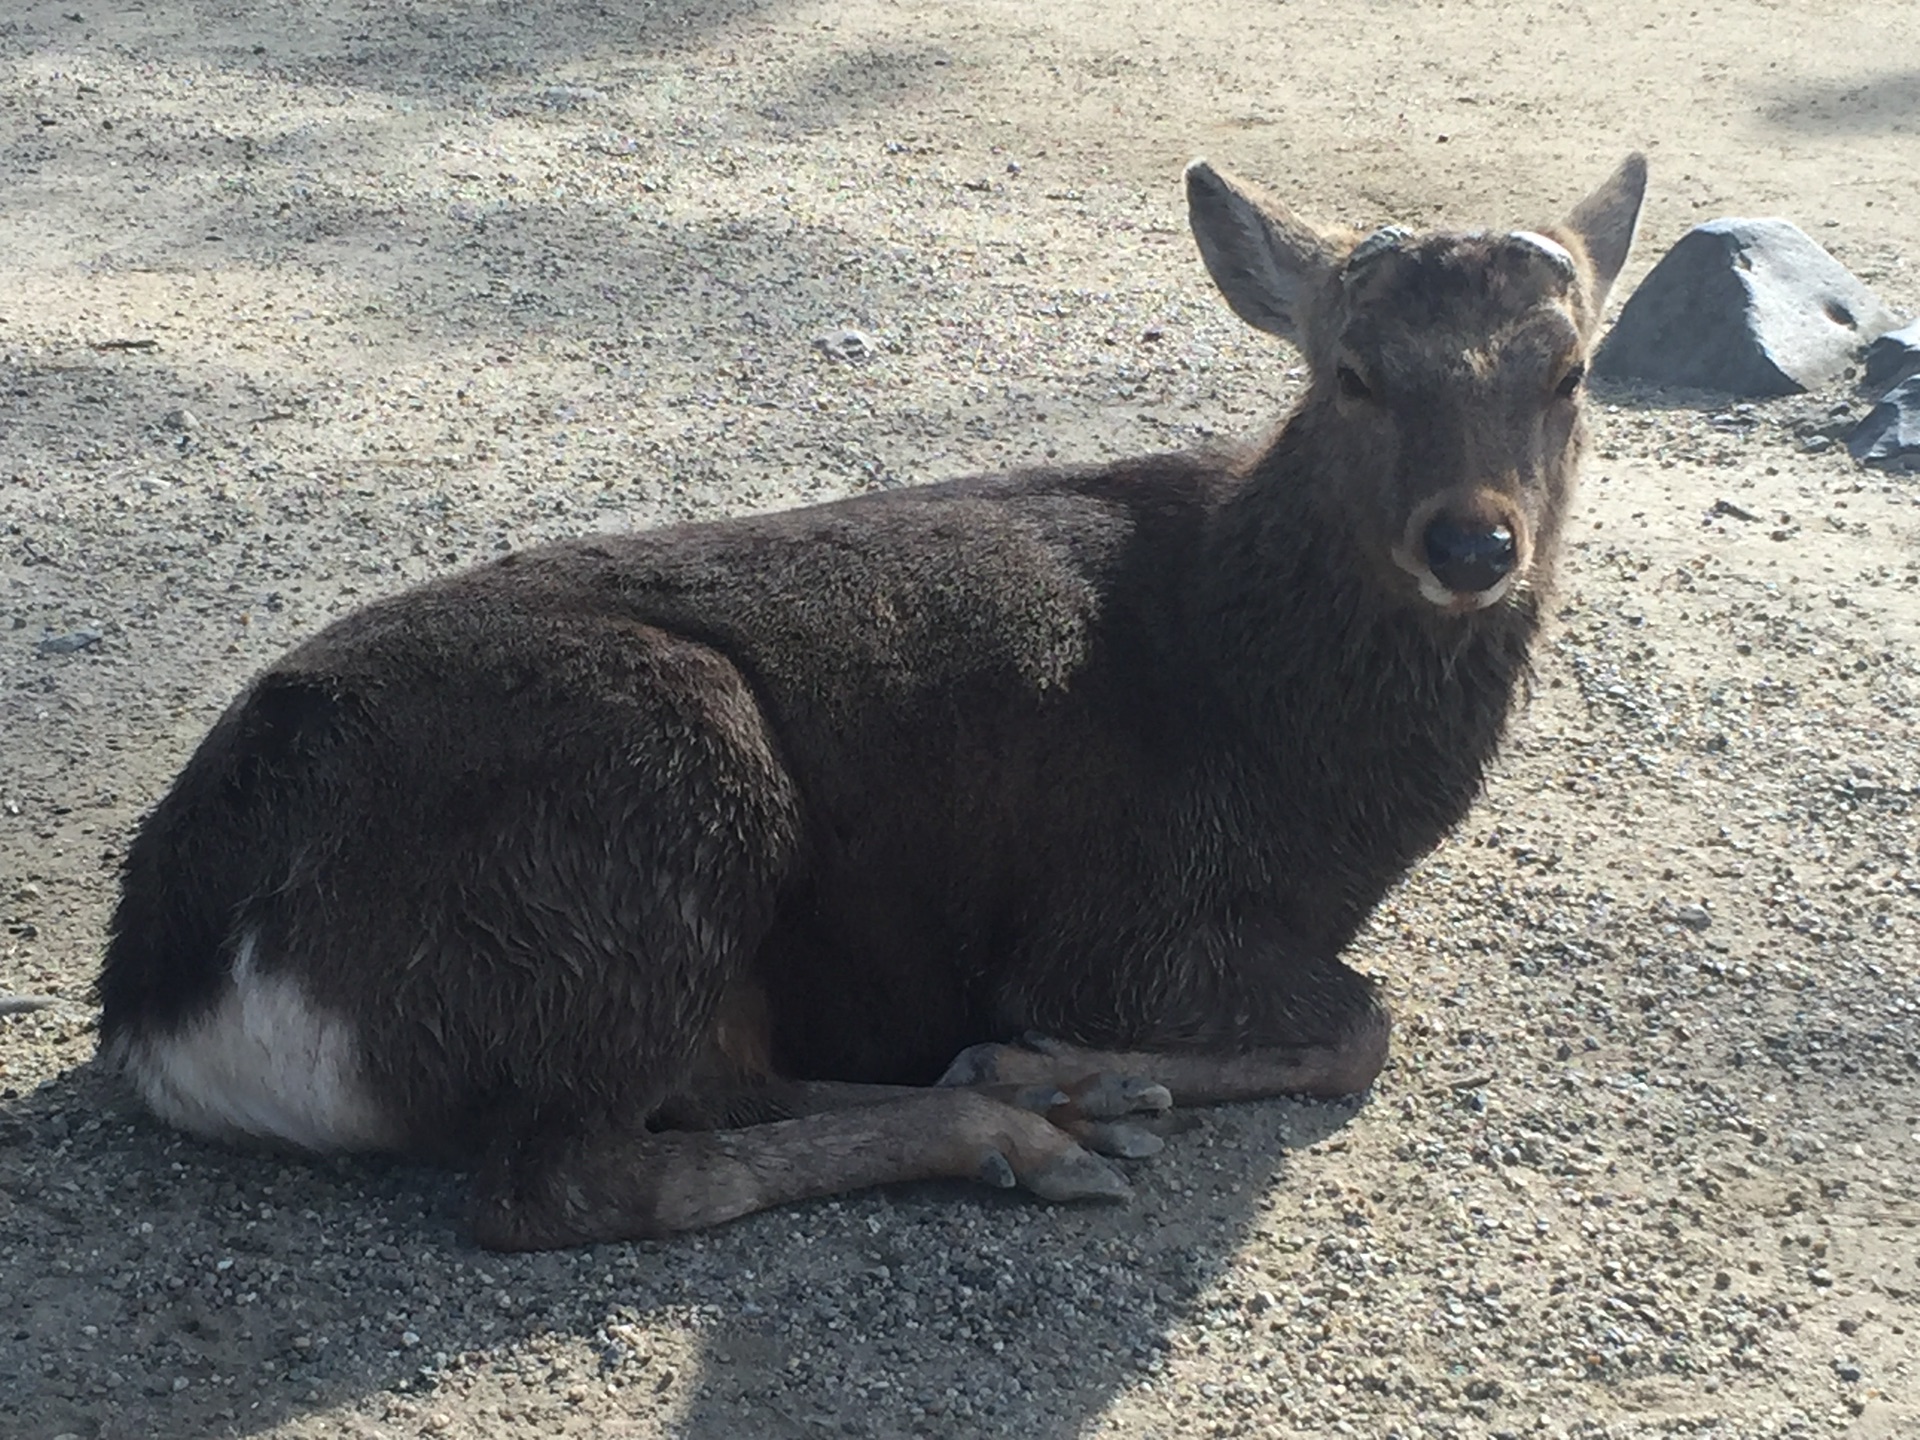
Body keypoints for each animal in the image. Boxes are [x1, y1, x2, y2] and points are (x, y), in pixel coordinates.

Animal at [93, 155, 1651, 1251]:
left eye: (1571, 371)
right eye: (1353, 372)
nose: (1474, 542)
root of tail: (165, 1001)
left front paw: (1062, 1071)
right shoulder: (1120, 913)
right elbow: (1359, 1025)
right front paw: (1052, 1055)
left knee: (721, 1084)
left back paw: (1047, 1103)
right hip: (647, 810)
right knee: (569, 1181)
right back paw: (1024, 1126)